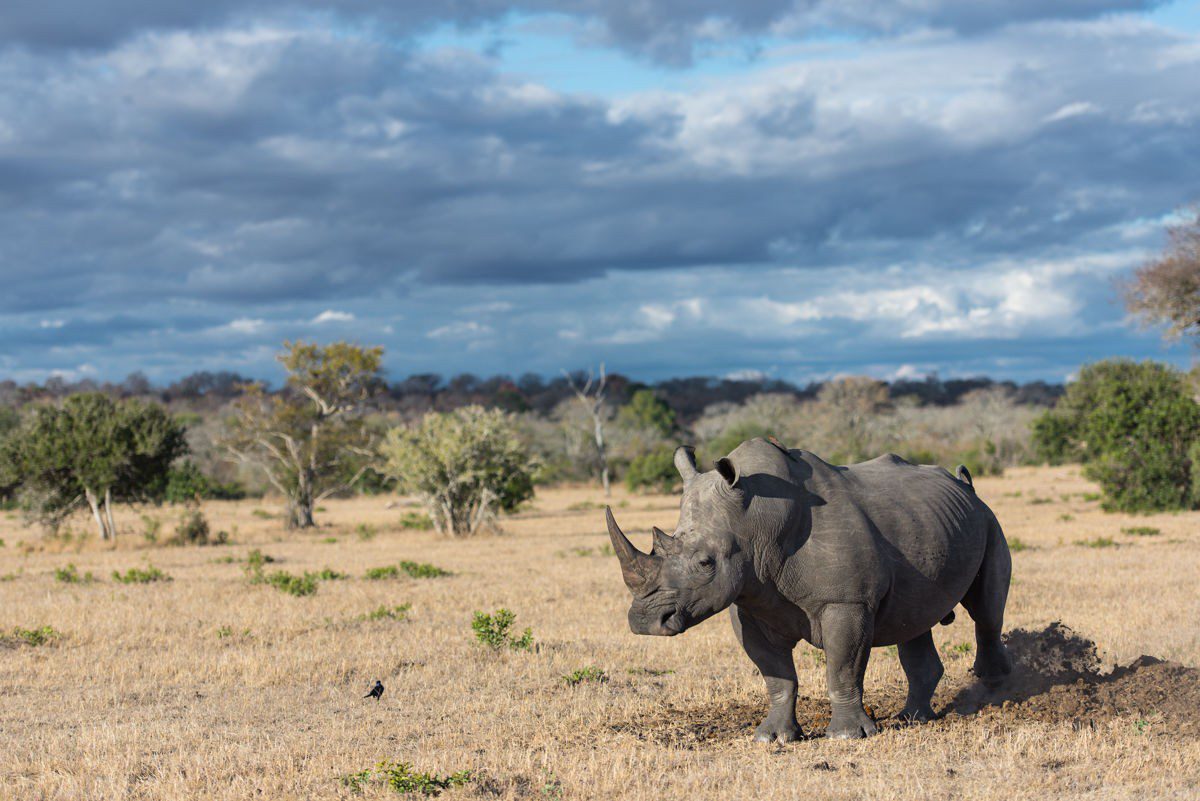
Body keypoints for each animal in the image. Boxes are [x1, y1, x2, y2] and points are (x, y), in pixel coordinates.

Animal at [609, 438, 1012, 738]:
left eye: (706, 563)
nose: (645, 622)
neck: (754, 521)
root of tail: (965, 486)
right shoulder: (749, 602)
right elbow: (776, 675)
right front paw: (773, 736)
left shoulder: (847, 603)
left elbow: (842, 668)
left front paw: (847, 736)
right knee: (914, 622)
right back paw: (912, 719)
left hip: (988, 519)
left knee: (985, 610)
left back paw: (993, 685)